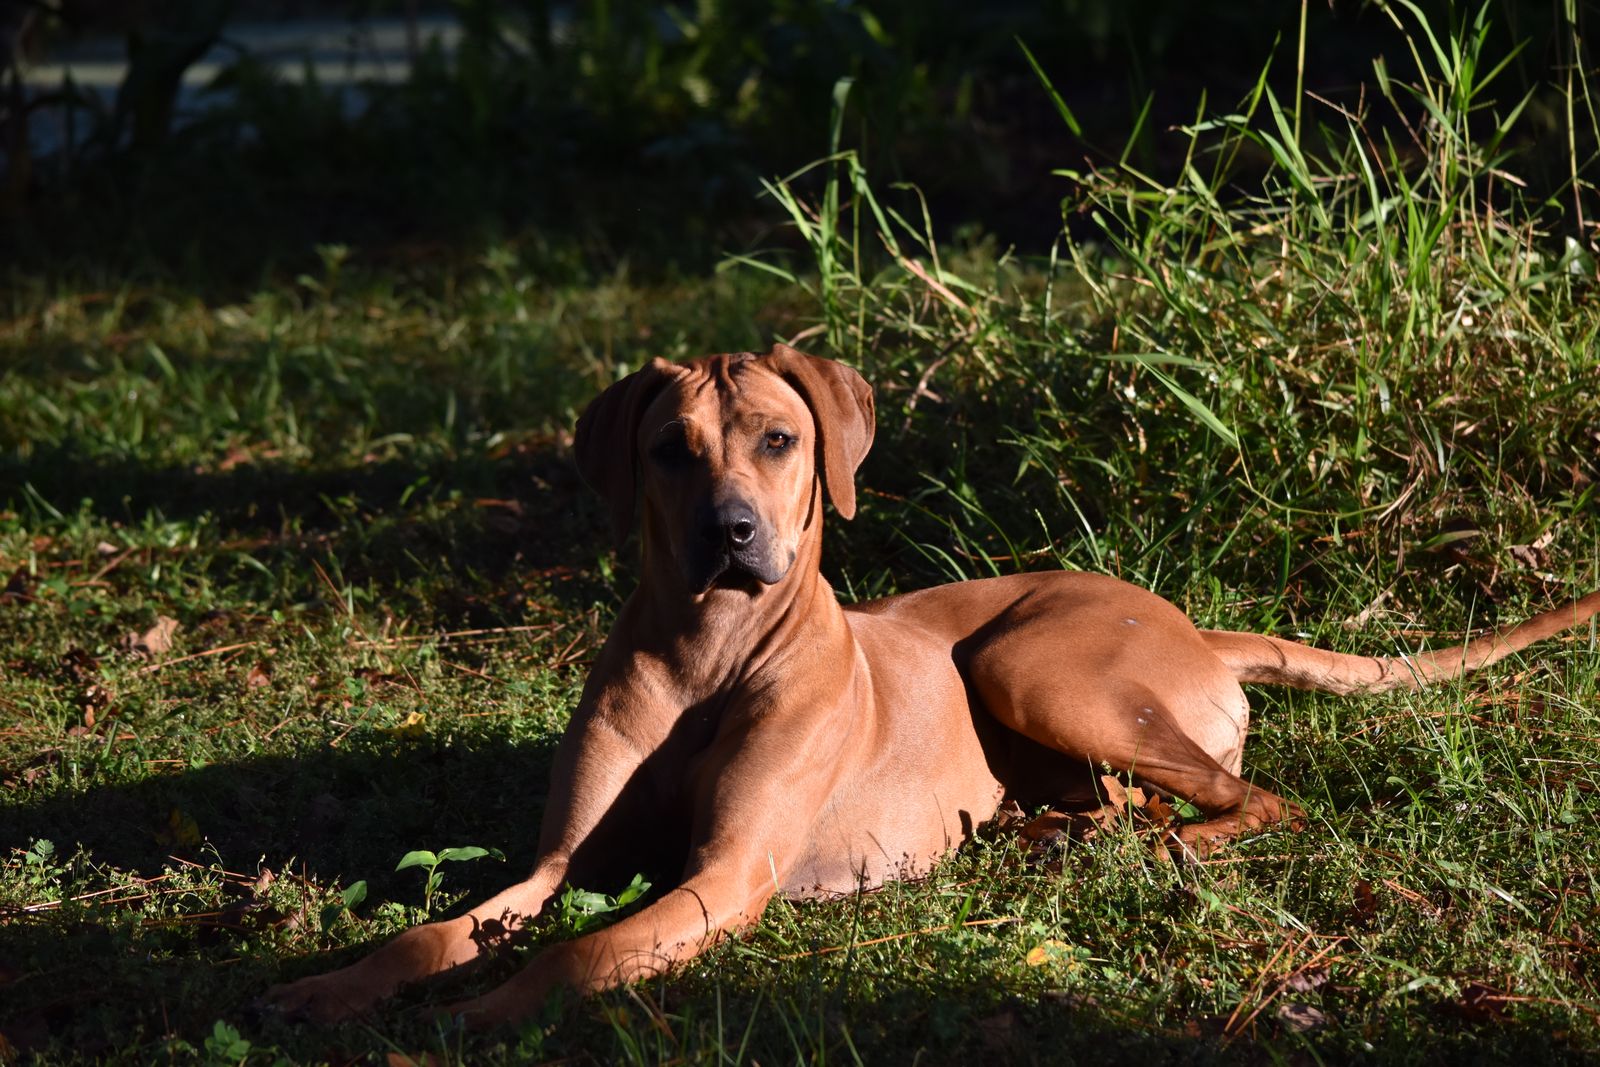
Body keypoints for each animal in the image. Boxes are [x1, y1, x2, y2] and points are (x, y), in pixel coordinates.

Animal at [266, 344, 1600, 1026]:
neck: (707, 650)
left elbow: (571, 961)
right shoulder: (552, 866)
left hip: (1023, 662)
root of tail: (1193, 622)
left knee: (1255, 799)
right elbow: (437, 930)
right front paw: (328, 986)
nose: (731, 534)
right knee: (1140, 799)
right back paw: (1065, 839)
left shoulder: (724, 877)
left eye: (779, 440)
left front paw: (468, 1020)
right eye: (668, 450)